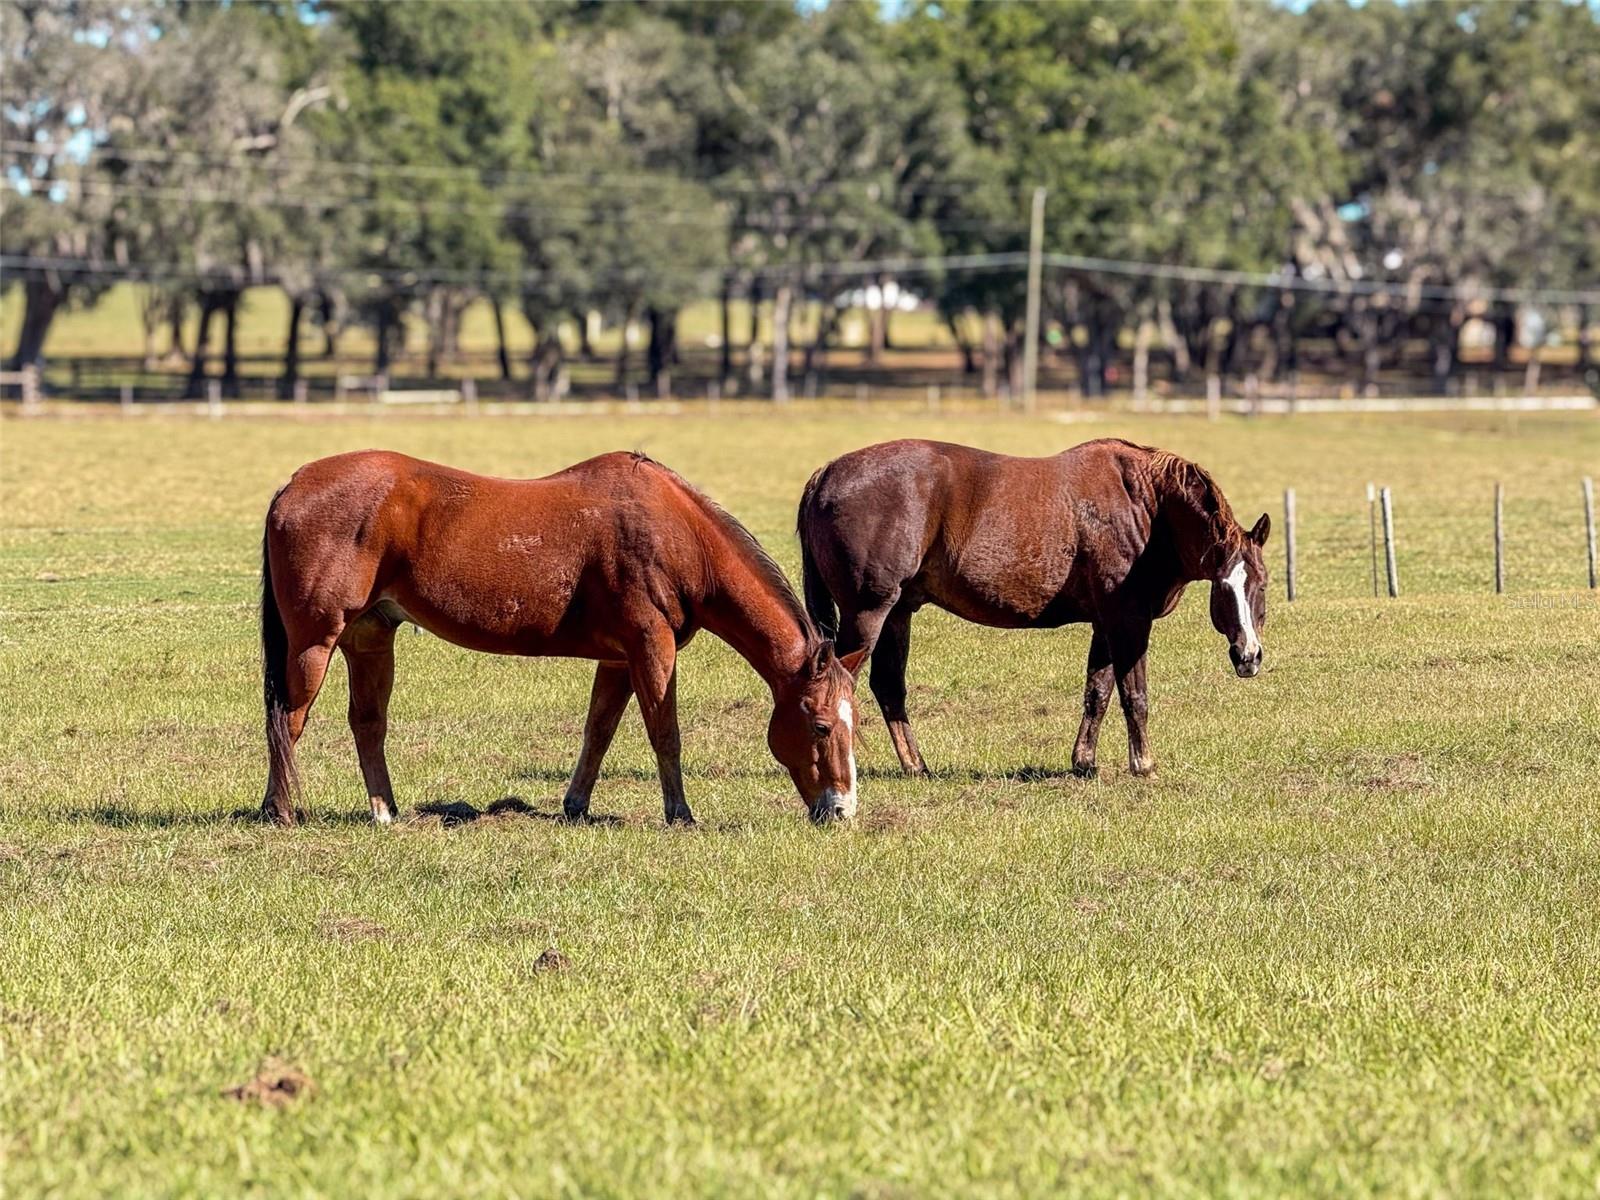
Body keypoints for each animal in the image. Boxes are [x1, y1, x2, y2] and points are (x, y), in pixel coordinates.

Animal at [260, 451, 864, 825]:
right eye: (820, 726)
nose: (842, 810)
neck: (677, 534)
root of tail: (294, 483)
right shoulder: (652, 648)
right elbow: (664, 733)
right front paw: (680, 814)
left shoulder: (620, 659)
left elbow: (599, 730)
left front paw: (576, 804)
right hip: (315, 641)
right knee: (289, 719)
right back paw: (280, 810)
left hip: (369, 637)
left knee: (367, 723)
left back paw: (384, 811)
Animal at [793, 438, 1267, 780]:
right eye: (1226, 587)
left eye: (1261, 585)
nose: (1249, 656)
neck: (1146, 507)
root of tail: (825, 475)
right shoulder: (1129, 623)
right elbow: (1135, 695)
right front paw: (1143, 764)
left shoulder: (1106, 624)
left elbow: (1097, 692)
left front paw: (1084, 762)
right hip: (868, 613)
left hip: (897, 614)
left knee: (889, 687)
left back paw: (916, 765)